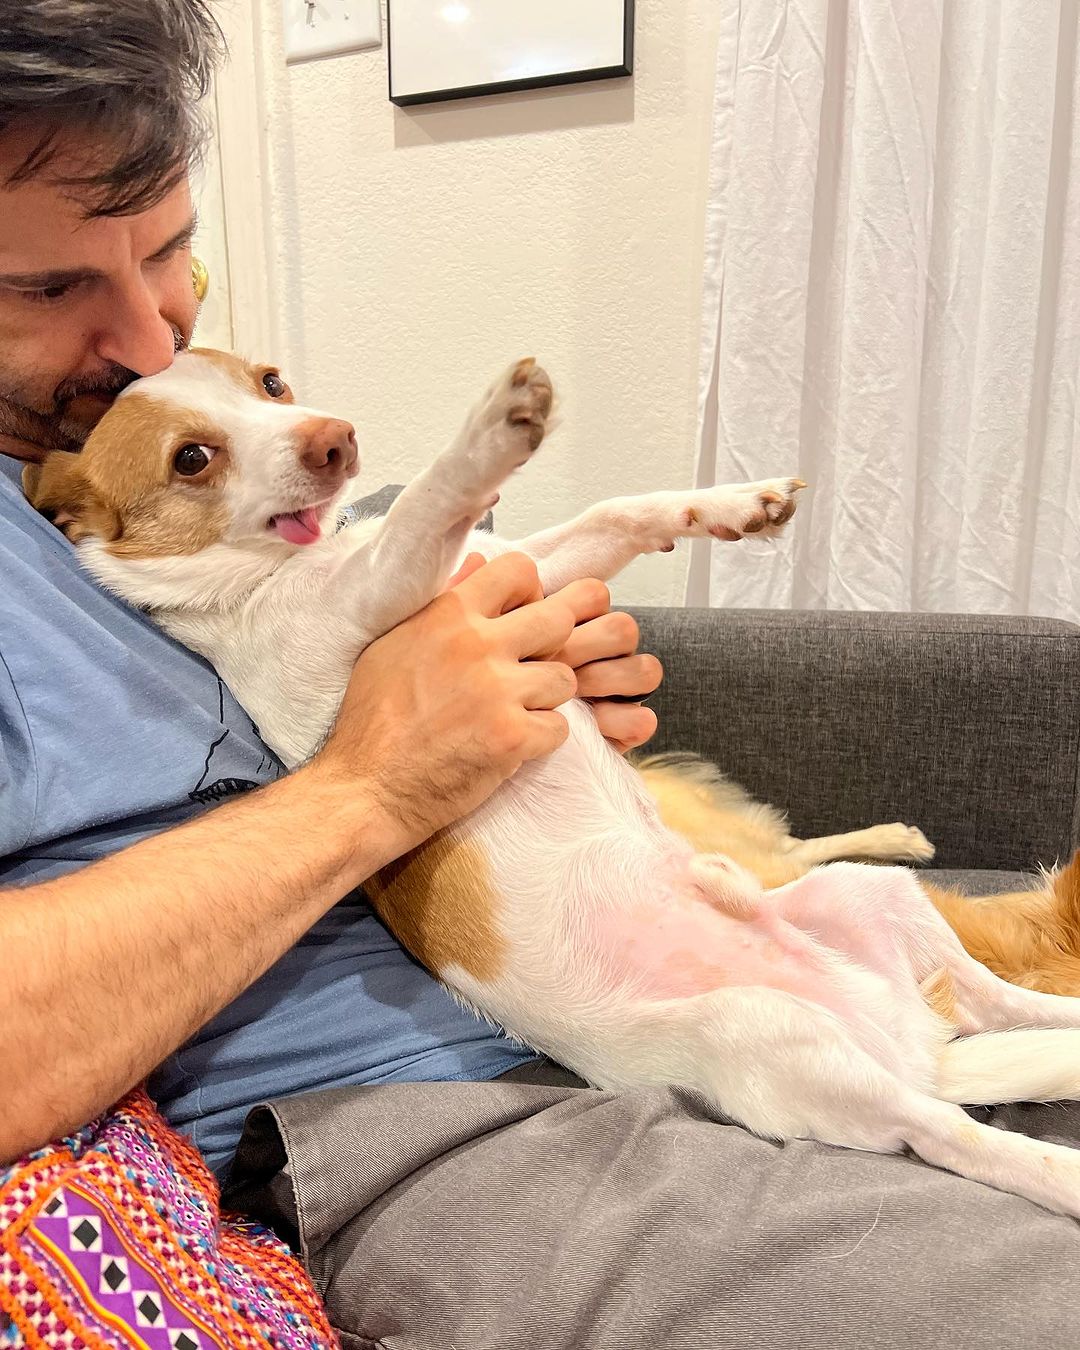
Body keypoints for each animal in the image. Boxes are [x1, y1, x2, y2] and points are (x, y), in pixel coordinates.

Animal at [23, 353, 1080, 1220]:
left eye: (270, 383)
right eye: (192, 458)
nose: (335, 438)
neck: (302, 559)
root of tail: (915, 1044)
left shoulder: (519, 572)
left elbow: (612, 515)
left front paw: (734, 502)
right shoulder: (381, 592)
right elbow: (431, 502)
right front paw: (494, 424)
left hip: (874, 897)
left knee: (1003, 1002)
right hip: (778, 1038)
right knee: (950, 1133)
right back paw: (1053, 1171)